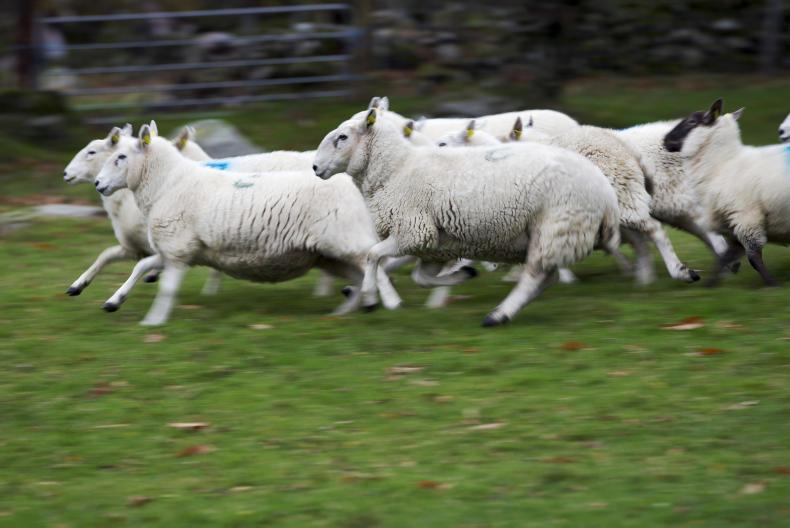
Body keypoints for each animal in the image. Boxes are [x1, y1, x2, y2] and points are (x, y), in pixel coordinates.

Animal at [93, 124, 401, 325]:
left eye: (121, 157)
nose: (97, 183)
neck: (167, 184)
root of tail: (350, 183)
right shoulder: (178, 250)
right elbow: (141, 266)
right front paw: (113, 301)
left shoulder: (177, 250)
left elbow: (167, 288)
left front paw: (154, 321)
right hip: (327, 255)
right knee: (363, 274)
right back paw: (349, 308)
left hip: (347, 241)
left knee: (375, 265)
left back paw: (386, 302)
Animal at [313, 106, 625, 327]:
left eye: (342, 137)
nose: (315, 167)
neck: (397, 169)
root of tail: (605, 192)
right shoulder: (432, 244)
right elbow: (420, 277)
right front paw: (461, 276)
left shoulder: (414, 231)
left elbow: (372, 256)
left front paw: (372, 297)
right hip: (550, 233)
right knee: (547, 277)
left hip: (556, 225)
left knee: (535, 276)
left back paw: (498, 315)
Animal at [663, 99, 788, 286]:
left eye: (691, 122)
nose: (664, 141)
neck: (722, 164)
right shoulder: (733, 225)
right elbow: (724, 258)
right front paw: (709, 285)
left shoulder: (746, 219)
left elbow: (753, 258)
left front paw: (772, 284)